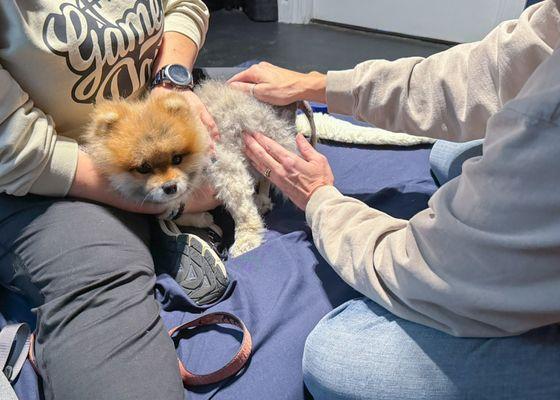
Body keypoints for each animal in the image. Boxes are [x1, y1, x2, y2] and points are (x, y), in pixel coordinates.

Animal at [86, 79, 318, 258]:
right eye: (143, 168)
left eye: (177, 158)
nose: (169, 187)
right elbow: (169, 212)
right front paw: (201, 218)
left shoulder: (226, 167)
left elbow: (242, 209)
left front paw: (247, 238)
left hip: (271, 142)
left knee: (267, 176)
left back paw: (261, 199)